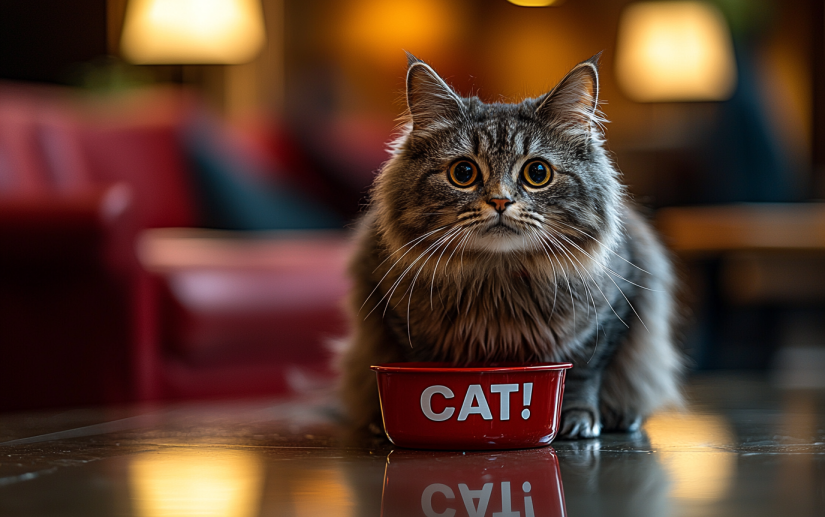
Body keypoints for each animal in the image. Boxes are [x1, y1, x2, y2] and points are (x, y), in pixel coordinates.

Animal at [336, 54, 684, 438]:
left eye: (537, 173)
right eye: (463, 173)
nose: (500, 201)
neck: (498, 281)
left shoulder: (613, 310)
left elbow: (584, 371)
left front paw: (577, 418)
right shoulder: (393, 310)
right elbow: (425, 364)